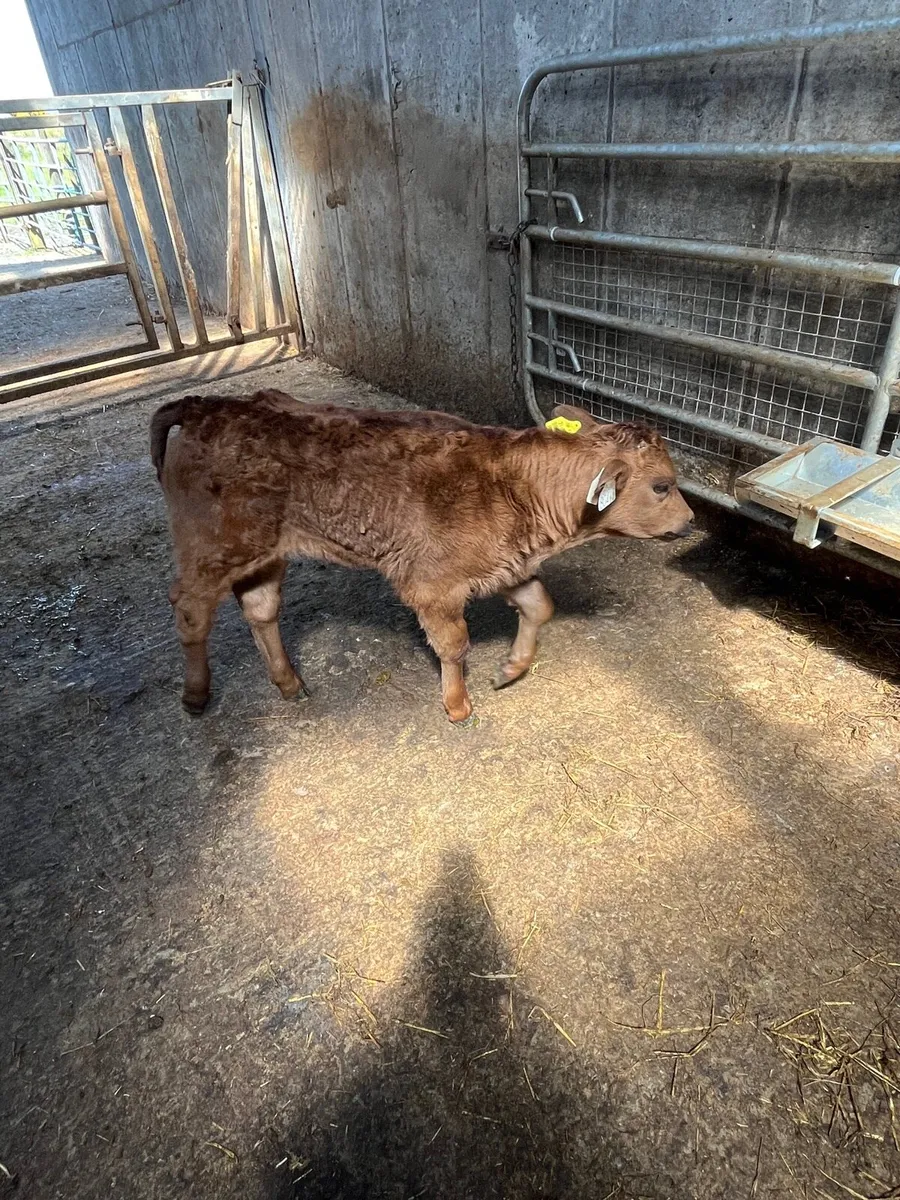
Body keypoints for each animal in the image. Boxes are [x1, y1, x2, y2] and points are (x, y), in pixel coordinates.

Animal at [150, 390, 693, 723]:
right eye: (662, 486)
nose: (690, 521)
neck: (517, 485)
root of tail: (203, 405)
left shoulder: (504, 564)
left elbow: (540, 606)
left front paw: (512, 669)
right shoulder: (433, 585)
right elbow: (454, 645)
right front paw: (457, 704)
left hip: (263, 549)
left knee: (260, 608)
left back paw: (288, 683)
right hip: (212, 544)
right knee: (190, 608)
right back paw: (195, 694)